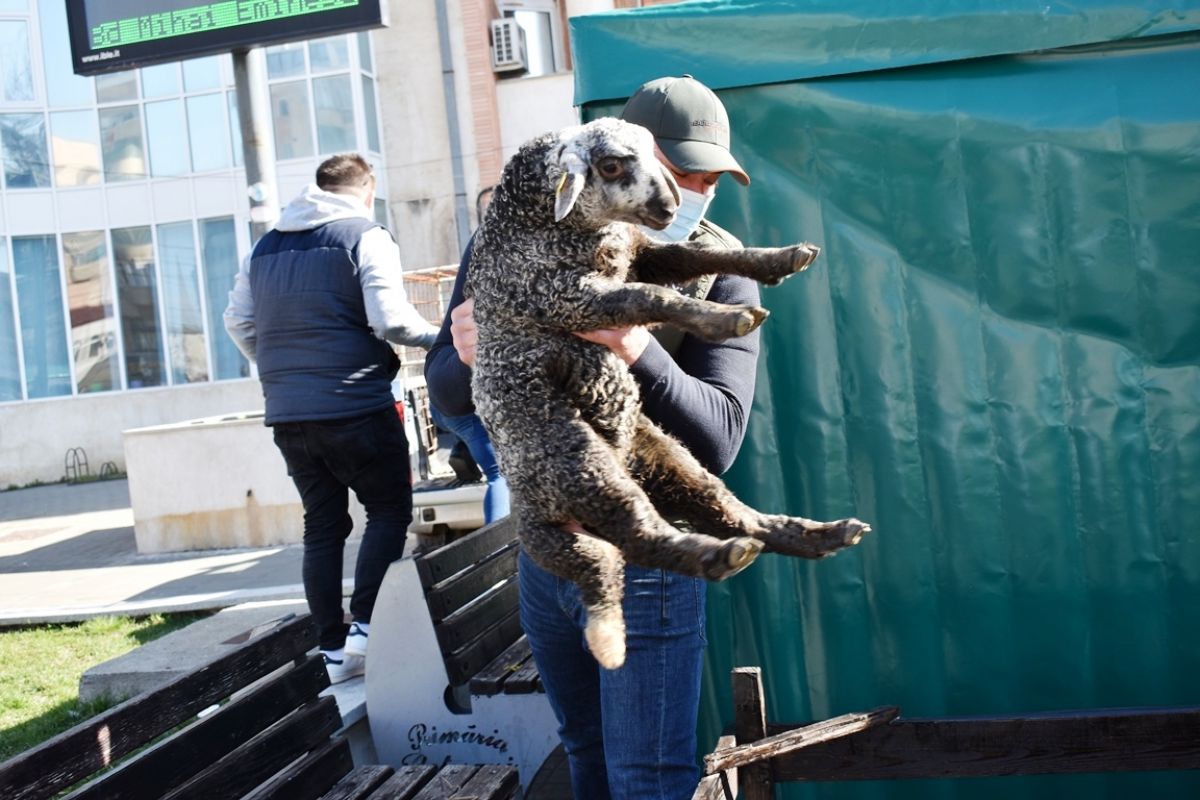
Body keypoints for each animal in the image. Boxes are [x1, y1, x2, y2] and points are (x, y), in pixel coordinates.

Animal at [466, 117, 871, 669]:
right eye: (611, 164)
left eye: (654, 155)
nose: (668, 205)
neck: (543, 222)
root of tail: (532, 522)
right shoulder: (566, 296)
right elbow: (650, 296)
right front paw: (728, 319)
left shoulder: (640, 254)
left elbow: (695, 255)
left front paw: (781, 260)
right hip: (575, 461)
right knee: (635, 535)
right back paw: (714, 558)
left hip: (663, 458)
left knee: (733, 515)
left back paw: (820, 535)